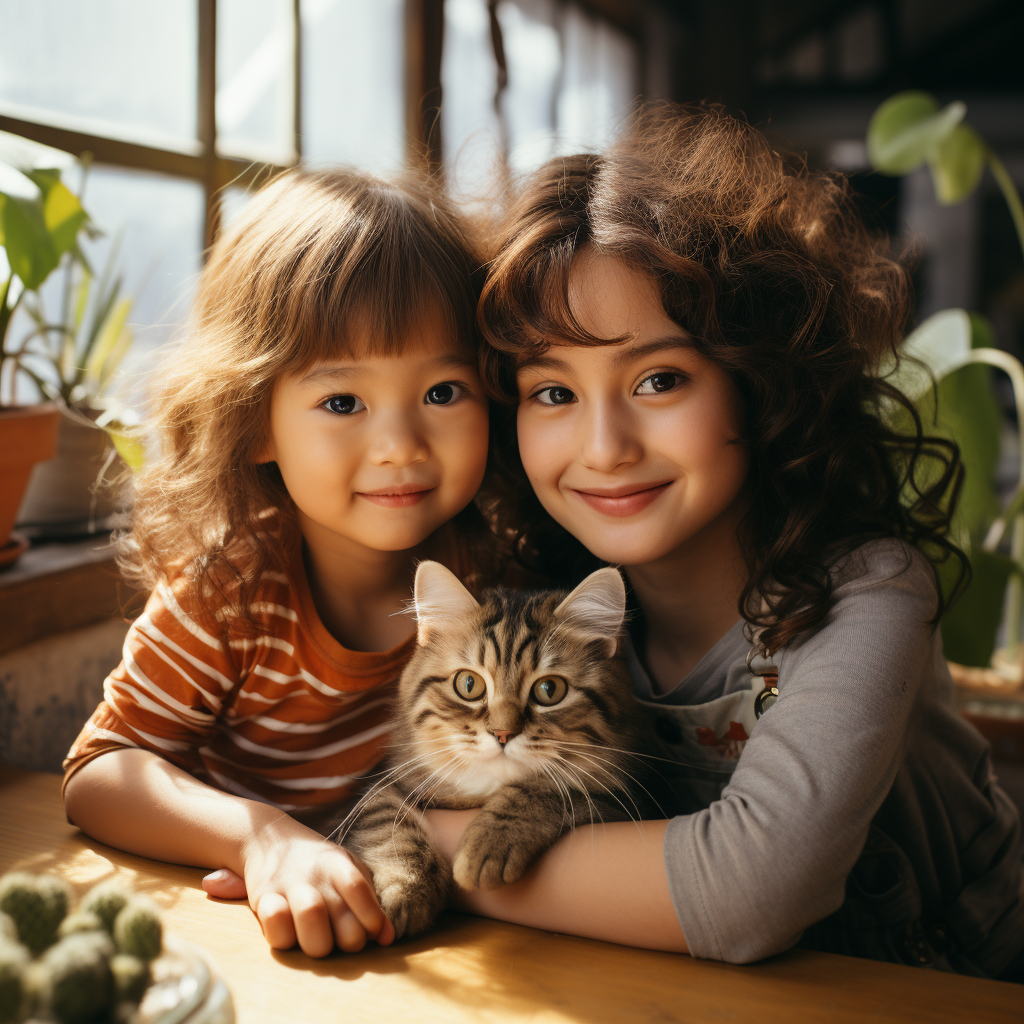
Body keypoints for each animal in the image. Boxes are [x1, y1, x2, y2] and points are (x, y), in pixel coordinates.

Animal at [339, 561, 651, 937]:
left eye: (550, 689)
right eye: (468, 684)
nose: (502, 734)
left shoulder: (623, 800)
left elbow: (546, 790)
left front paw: (488, 845)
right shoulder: (382, 785)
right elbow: (388, 823)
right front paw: (407, 887)